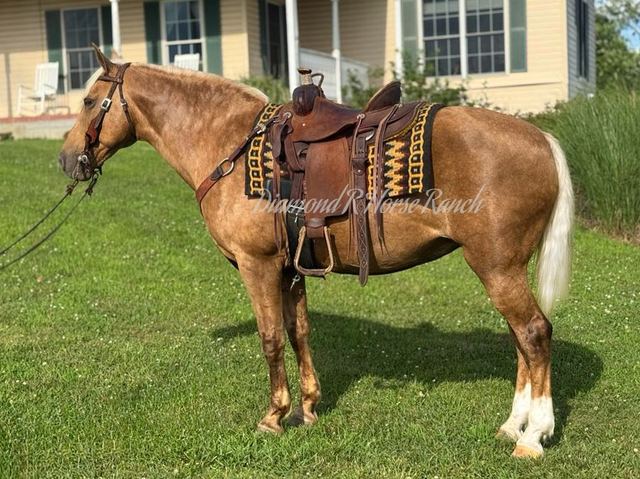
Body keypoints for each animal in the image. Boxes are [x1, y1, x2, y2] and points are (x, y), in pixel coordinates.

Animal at [58, 47, 573, 458]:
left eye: (88, 102)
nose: (66, 159)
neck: (229, 144)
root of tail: (542, 139)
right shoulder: (291, 268)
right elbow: (299, 332)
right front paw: (306, 408)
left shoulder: (259, 265)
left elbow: (270, 338)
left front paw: (273, 416)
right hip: (503, 269)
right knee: (521, 339)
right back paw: (512, 426)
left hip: (497, 267)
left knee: (533, 334)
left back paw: (533, 436)